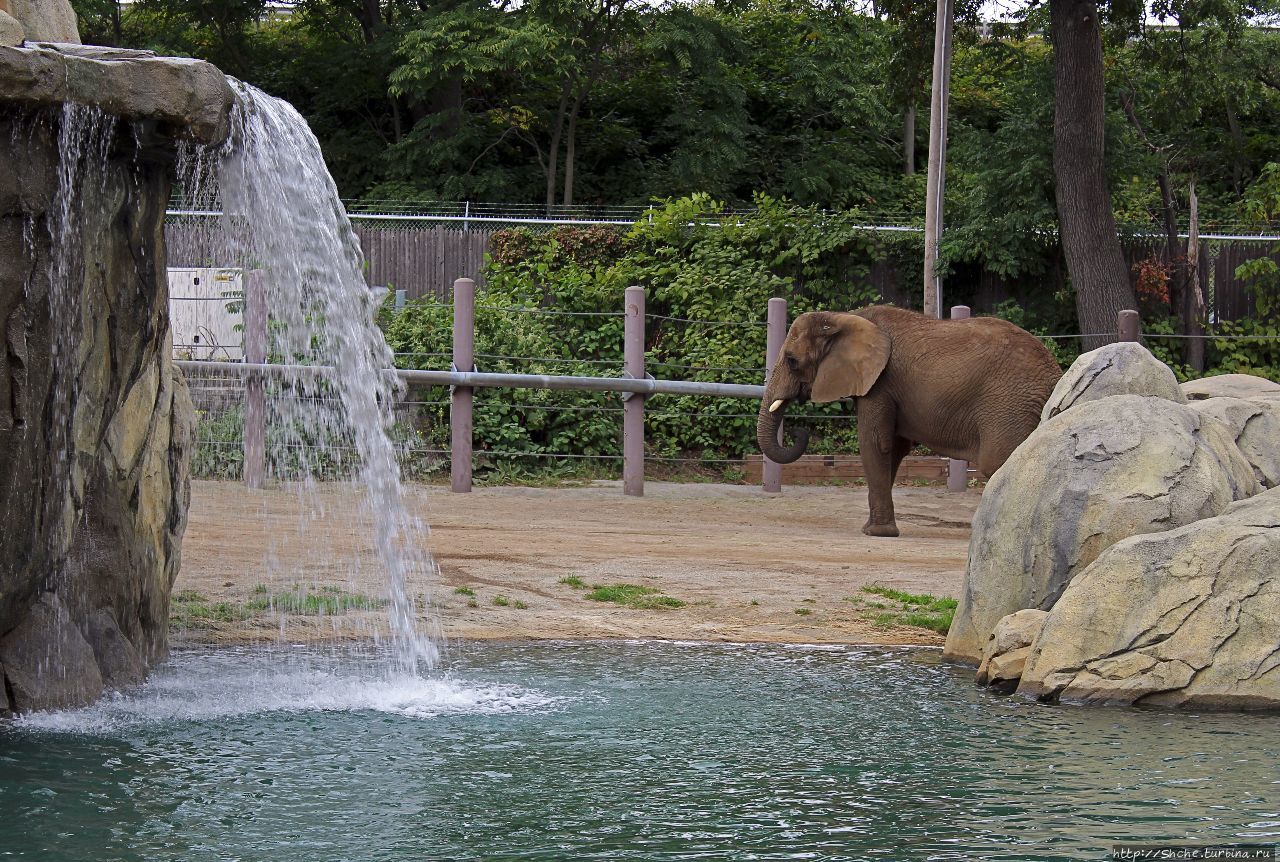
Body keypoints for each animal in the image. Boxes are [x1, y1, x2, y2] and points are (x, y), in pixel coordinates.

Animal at [752, 306, 1064, 535]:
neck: (844, 317)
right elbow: (894, 448)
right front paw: (874, 528)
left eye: (792, 361)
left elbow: (875, 443)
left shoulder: (880, 383)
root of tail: (1055, 374)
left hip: (1009, 404)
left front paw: (875, 533)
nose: (798, 430)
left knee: (996, 462)